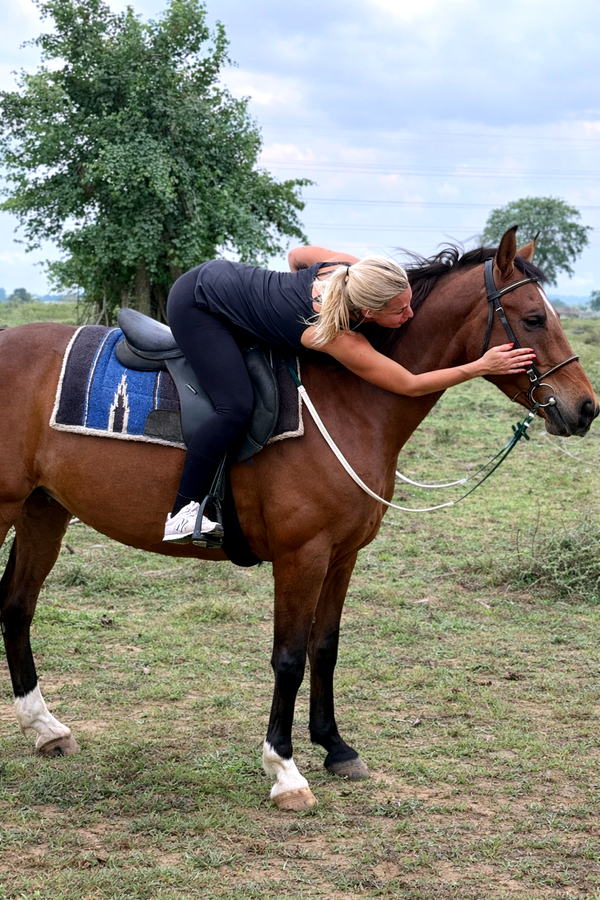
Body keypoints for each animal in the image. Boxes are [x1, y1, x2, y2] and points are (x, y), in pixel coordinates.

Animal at [0, 228, 597, 811]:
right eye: (534, 318)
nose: (586, 408)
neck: (348, 400)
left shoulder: (342, 554)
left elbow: (324, 648)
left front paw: (335, 746)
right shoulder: (301, 556)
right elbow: (288, 658)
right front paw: (284, 770)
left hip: (43, 511)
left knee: (16, 607)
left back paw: (46, 728)